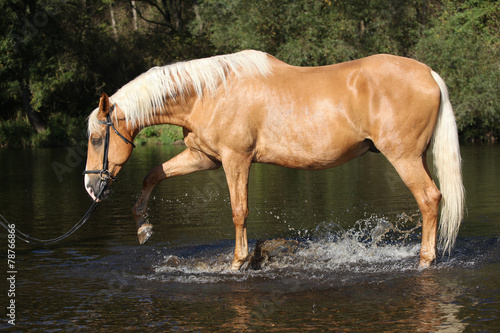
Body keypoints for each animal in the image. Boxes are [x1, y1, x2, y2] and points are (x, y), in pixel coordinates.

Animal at [85, 50, 464, 270]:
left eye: (96, 138)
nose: (91, 187)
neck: (209, 93)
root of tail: (428, 73)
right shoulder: (203, 157)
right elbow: (153, 174)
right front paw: (143, 227)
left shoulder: (235, 160)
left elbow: (239, 211)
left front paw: (238, 262)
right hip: (417, 157)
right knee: (433, 200)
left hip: (403, 158)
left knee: (429, 199)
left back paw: (425, 260)